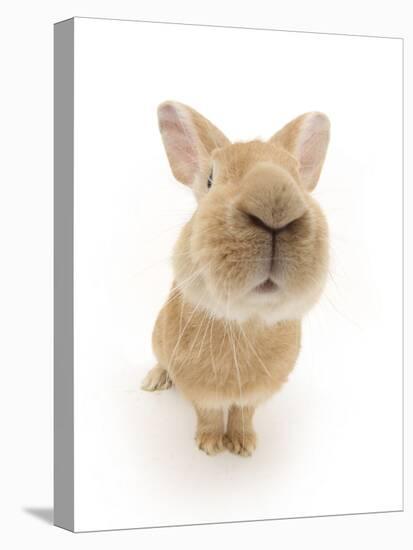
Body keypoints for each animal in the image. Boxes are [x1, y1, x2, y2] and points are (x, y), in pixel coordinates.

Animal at [142, 101, 328, 460]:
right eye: (211, 179)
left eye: (296, 176)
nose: (274, 203)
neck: (246, 319)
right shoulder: (200, 389)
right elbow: (209, 414)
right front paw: (210, 446)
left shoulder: (256, 393)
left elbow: (243, 413)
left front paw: (244, 445)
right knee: (160, 361)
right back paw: (154, 380)